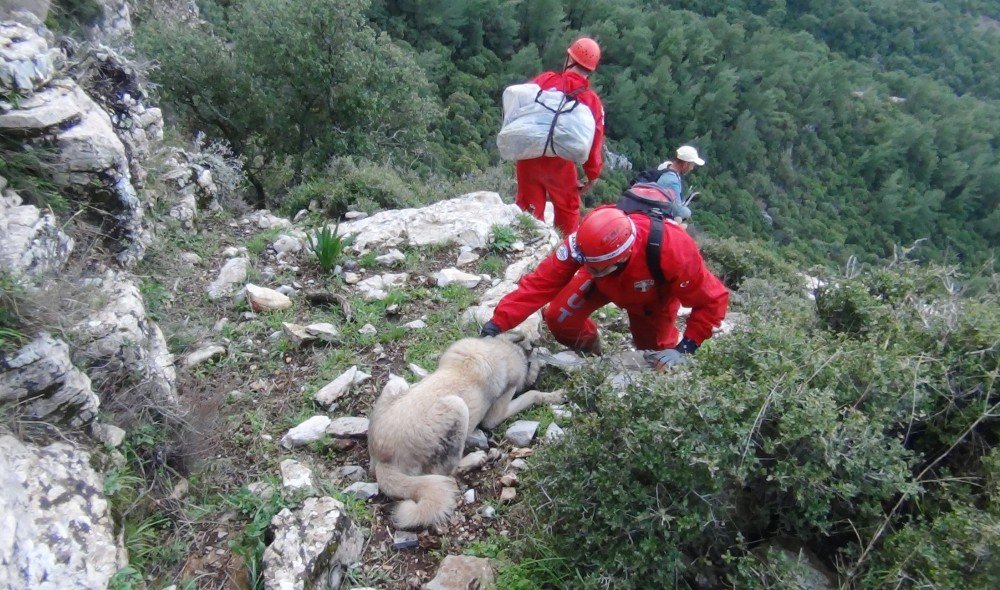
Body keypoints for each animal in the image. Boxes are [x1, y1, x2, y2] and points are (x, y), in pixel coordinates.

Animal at [372, 332, 568, 532]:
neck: (500, 348)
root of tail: (382, 460)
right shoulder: (496, 415)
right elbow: (532, 394)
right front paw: (554, 394)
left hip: (397, 383)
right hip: (457, 407)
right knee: (447, 472)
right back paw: (475, 458)